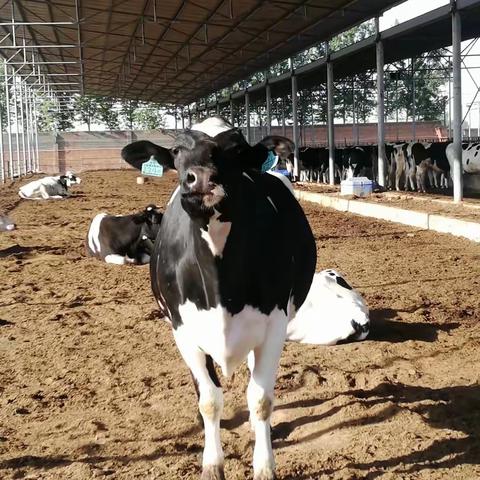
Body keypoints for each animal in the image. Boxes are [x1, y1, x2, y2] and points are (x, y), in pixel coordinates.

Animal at [120, 116, 316, 480]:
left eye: (237, 149)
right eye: (177, 150)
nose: (201, 177)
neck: (219, 284)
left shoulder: (275, 325)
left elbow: (261, 400)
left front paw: (264, 465)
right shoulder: (183, 329)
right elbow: (209, 399)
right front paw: (212, 464)